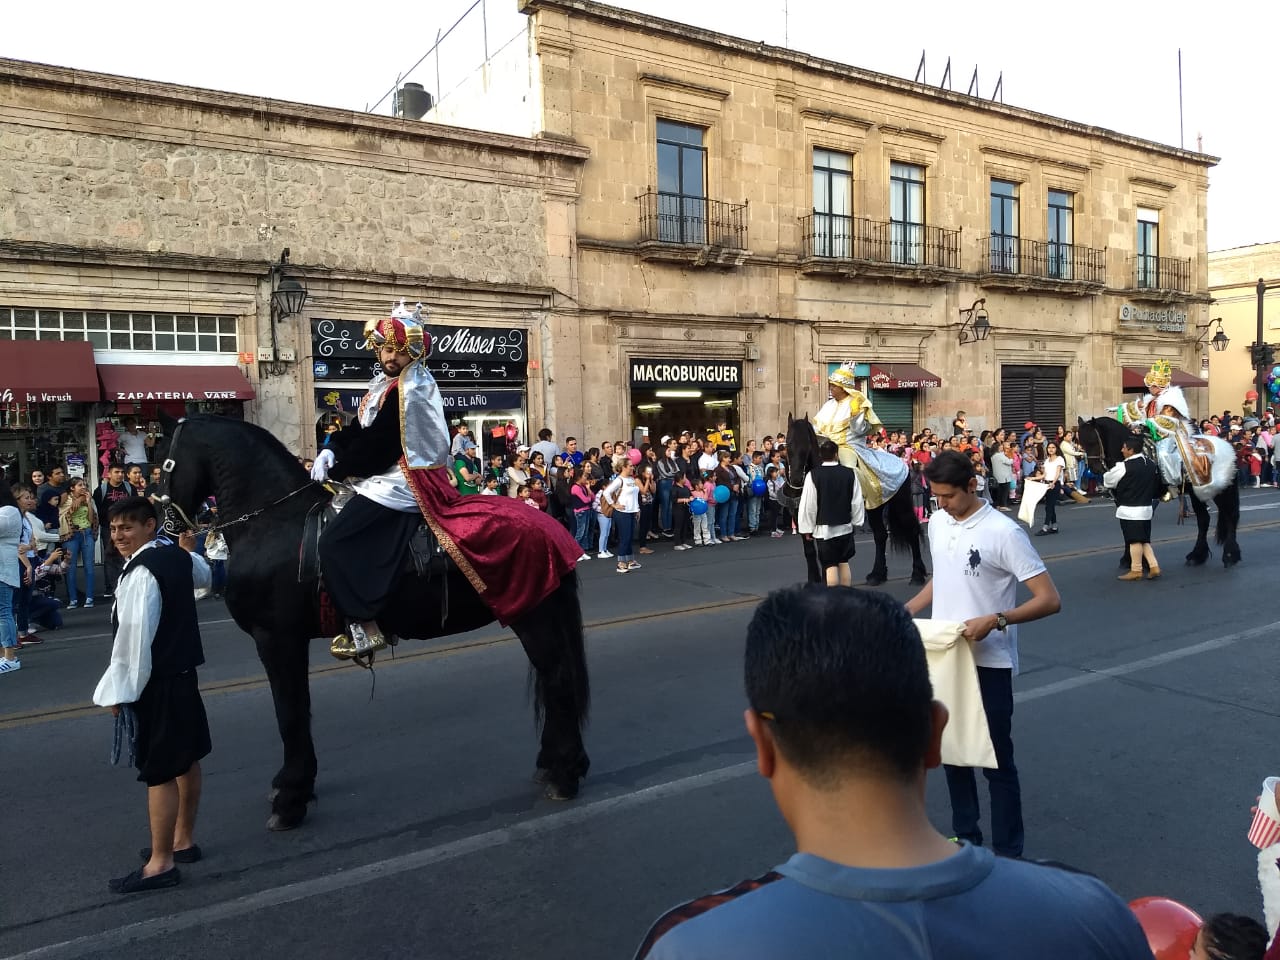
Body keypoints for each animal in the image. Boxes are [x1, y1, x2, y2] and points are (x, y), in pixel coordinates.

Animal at [154, 414, 588, 834]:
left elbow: (290, 713)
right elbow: (294, 711)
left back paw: (564, 774)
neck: (273, 523)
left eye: (166, 460)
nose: (168, 527)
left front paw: (291, 798)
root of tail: (555, 530)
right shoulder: (283, 641)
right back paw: (555, 763)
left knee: (558, 680)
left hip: (535, 617)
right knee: (553, 681)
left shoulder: (278, 639)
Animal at [778, 414, 921, 586]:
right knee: (880, 535)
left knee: (912, 531)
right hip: (875, 506)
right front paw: (813, 580)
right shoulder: (799, 517)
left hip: (901, 504)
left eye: (806, 443)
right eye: (788, 443)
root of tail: (903, 462)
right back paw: (877, 575)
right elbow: (810, 551)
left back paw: (917, 574)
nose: (796, 479)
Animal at [1070, 414, 1239, 568]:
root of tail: (1228, 446)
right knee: (1204, 519)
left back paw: (1230, 555)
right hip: (1196, 493)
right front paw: (1128, 558)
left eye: (1093, 441)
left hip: (1218, 490)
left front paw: (1140, 560)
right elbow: (1126, 526)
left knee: (1229, 516)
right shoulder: (1122, 500)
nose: (1095, 469)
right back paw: (1197, 555)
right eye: (1081, 443)